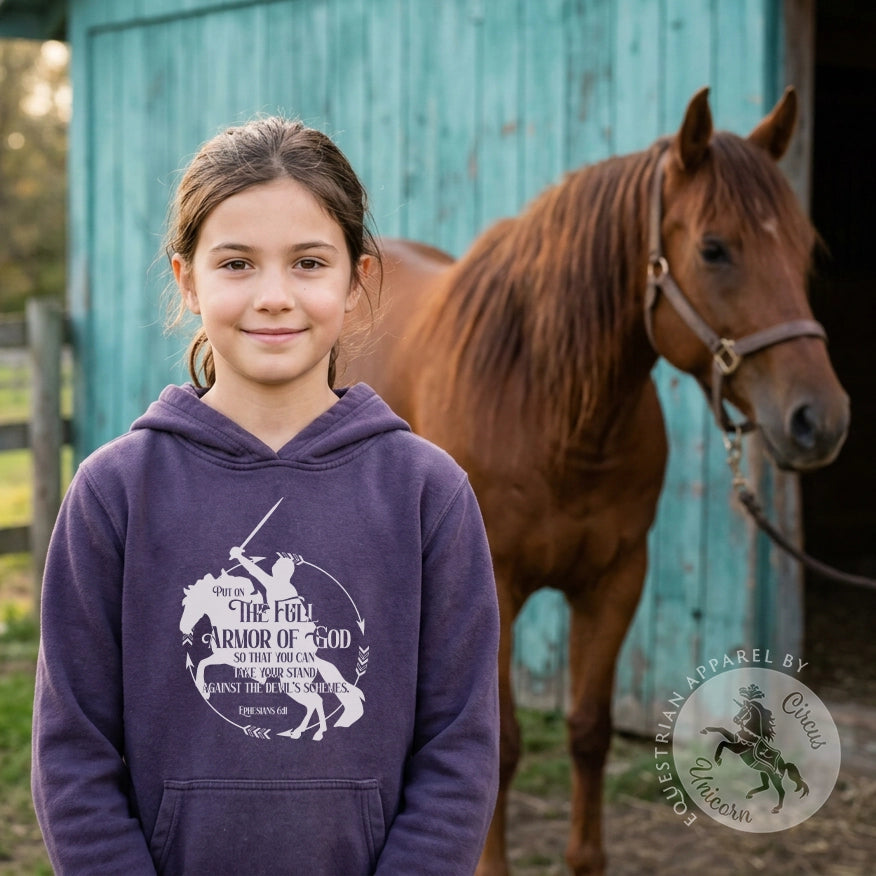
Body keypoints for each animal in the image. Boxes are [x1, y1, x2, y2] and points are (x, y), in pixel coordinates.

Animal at [344, 87, 849, 874]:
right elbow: (502, 745)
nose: (818, 421)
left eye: (805, 249)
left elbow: (588, 730)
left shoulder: (615, 580)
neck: (554, 410)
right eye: (714, 248)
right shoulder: (496, 585)